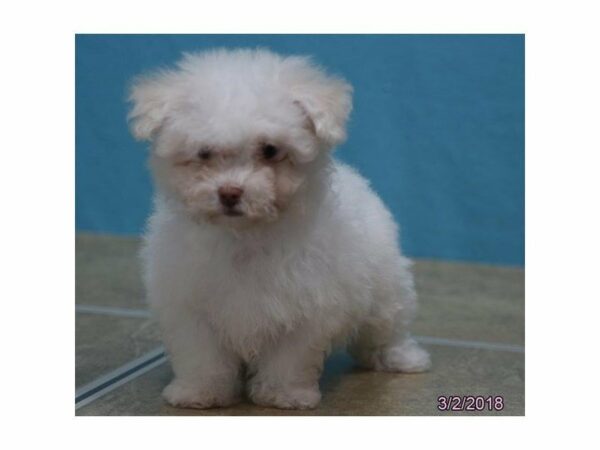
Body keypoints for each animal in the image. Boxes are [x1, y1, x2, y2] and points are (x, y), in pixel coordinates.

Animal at [129, 47, 428, 410]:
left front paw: (284, 394)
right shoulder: (190, 306)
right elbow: (202, 355)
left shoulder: (305, 307)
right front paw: (200, 392)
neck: (244, 236)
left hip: (385, 286)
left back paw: (403, 358)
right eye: (203, 152)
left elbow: (290, 356)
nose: (230, 192)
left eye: (270, 150)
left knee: (387, 327)